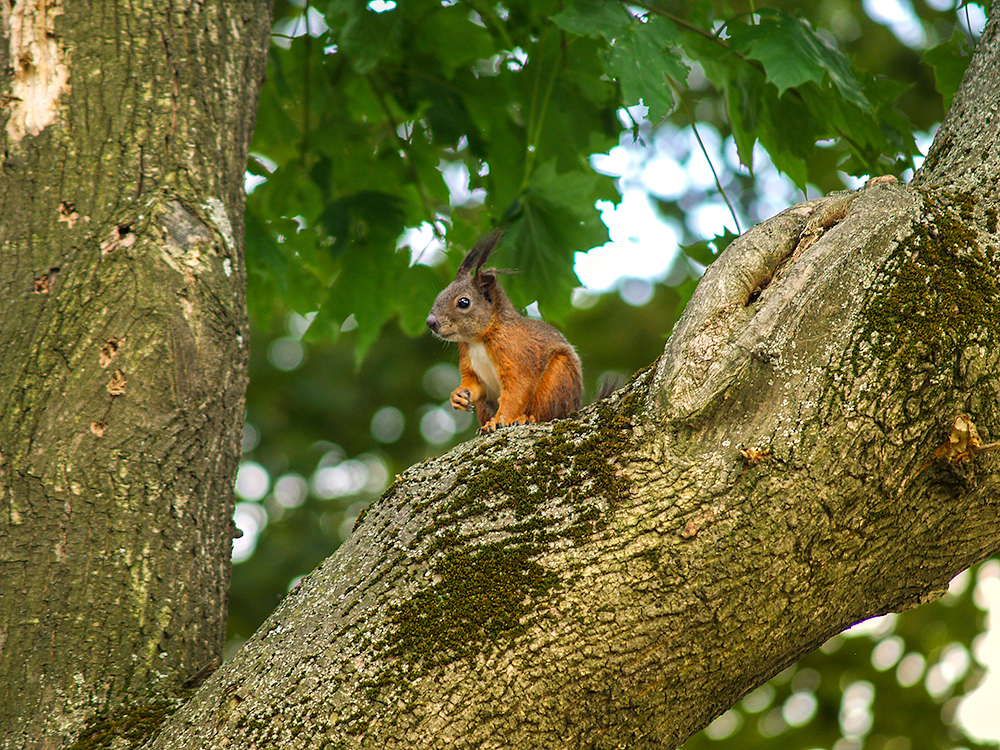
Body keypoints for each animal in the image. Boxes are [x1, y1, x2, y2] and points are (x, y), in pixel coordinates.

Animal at [424, 232, 584, 438]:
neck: (477, 340)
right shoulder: (468, 360)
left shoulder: (515, 354)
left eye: (463, 302)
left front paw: (499, 420)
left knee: (546, 411)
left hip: (559, 377)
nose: (431, 322)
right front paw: (457, 396)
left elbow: (517, 390)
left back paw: (526, 418)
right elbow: (473, 385)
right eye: (440, 294)